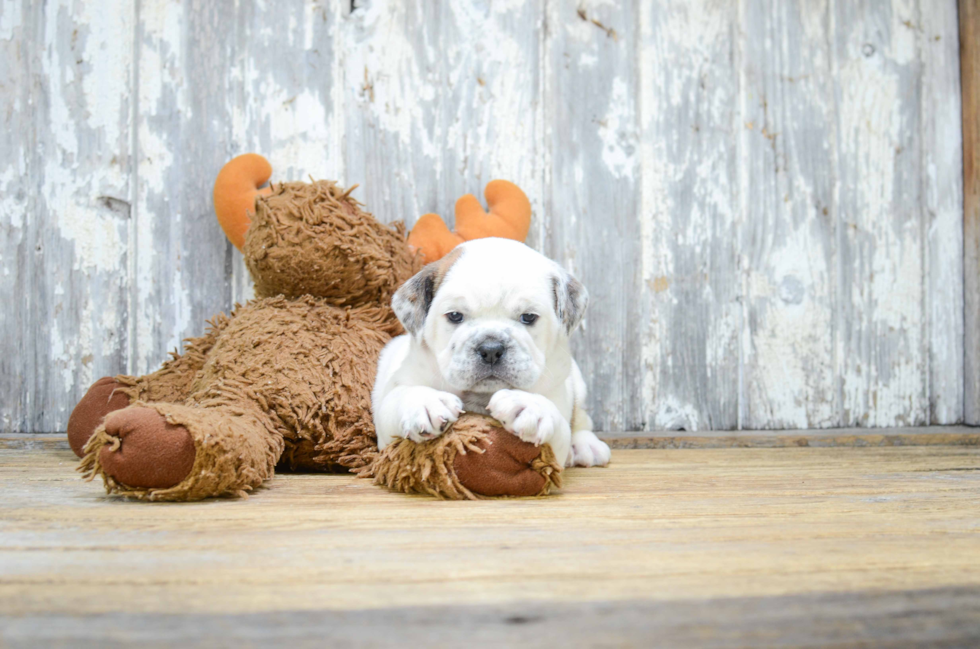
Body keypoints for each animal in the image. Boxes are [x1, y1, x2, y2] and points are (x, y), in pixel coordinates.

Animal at [370, 237, 608, 466]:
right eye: (455, 316)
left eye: (528, 317)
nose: (491, 349)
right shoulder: (390, 414)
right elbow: (398, 397)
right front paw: (425, 402)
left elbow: (559, 423)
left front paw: (531, 407)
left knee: (582, 419)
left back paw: (586, 445)